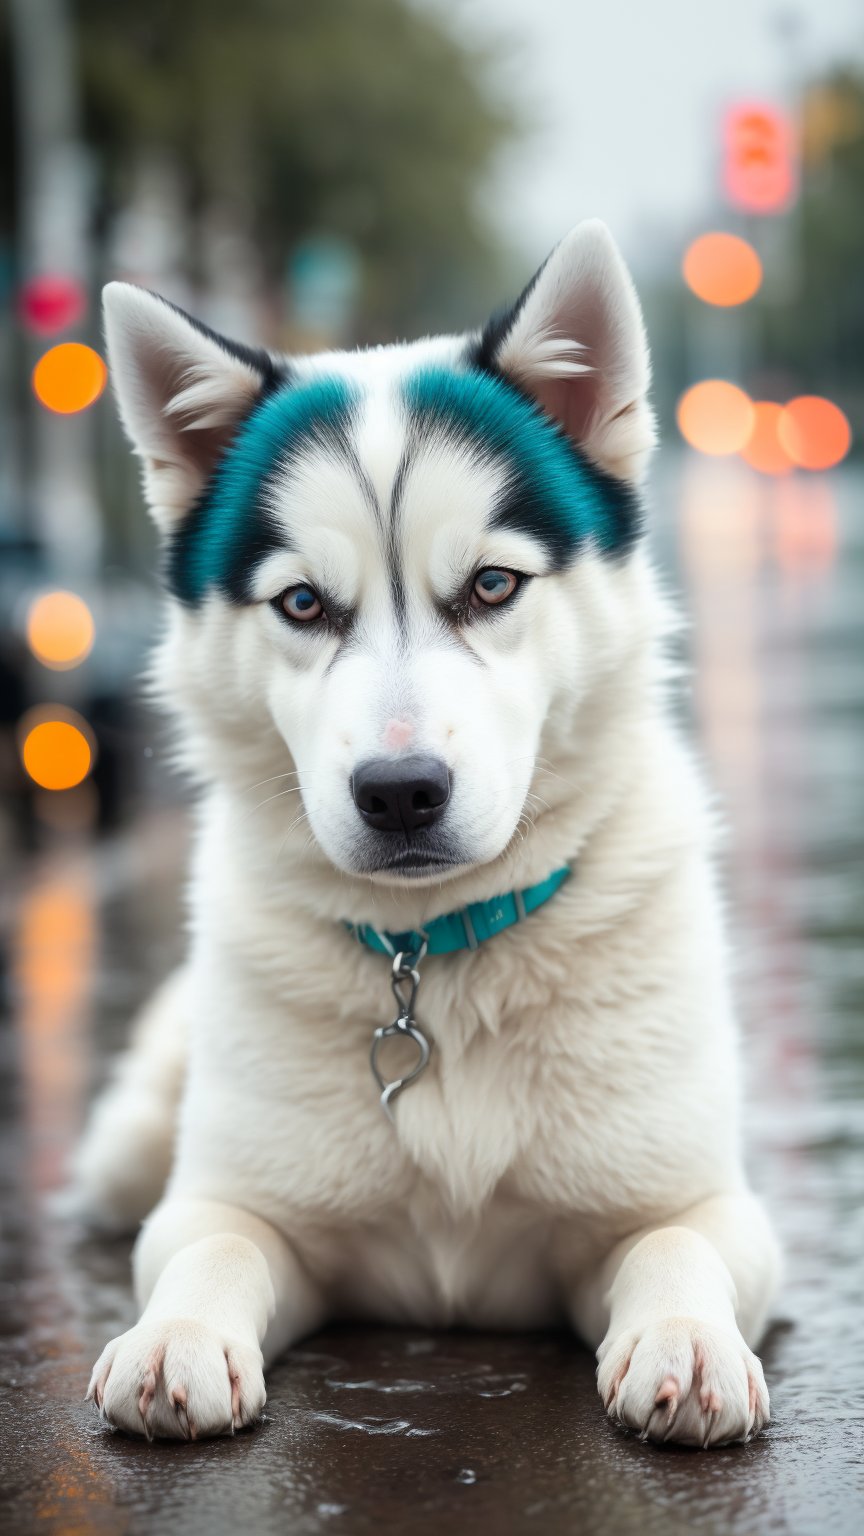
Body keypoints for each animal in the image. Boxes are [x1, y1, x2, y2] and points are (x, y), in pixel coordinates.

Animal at [77, 222, 777, 1443]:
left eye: (492, 585)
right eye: (303, 604)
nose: (401, 792)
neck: (433, 956)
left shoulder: (706, 1208)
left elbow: (677, 1240)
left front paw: (689, 1337)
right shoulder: (228, 1205)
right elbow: (211, 1243)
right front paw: (175, 1335)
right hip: (133, 1148)